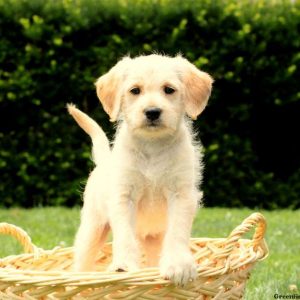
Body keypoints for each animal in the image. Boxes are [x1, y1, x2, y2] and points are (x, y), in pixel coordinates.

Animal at [68, 54, 213, 286]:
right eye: (135, 90)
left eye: (169, 89)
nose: (152, 112)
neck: (152, 147)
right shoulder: (123, 197)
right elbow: (124, 236)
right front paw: (124, 266)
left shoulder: (181, 195)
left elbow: (177, 232)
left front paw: (179, 265)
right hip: (92, 228)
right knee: (84, 258)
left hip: (153, 237)